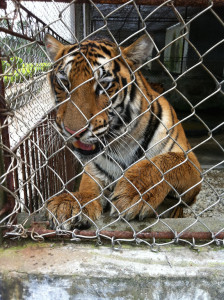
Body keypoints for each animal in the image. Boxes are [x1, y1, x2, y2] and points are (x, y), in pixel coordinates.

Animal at [44, 33, 202, 230]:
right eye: (64, 82)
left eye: (103, 85)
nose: (73, 131)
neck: (123, 141)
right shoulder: (93, 170)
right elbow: (88, 188)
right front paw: (69, 203)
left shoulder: (191, 164)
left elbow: (164, 162)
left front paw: (135, 192)